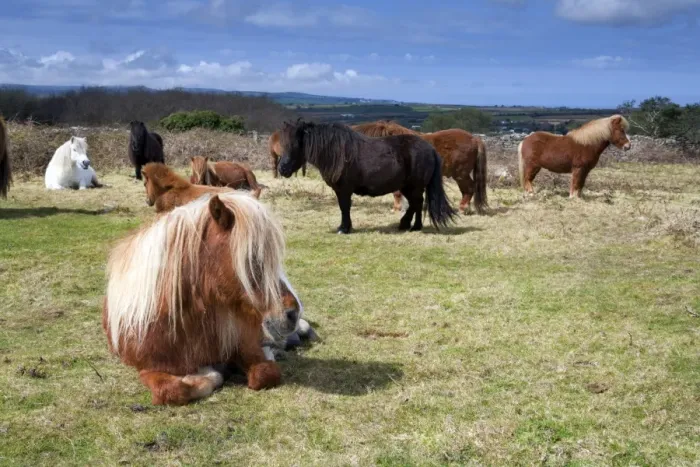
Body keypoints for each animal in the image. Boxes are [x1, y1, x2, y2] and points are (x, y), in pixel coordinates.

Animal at [103, 191, 303, 405]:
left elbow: (266, 374)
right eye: (250, 258)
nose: (293, 313)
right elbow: (175, 389)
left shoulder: (247, 346)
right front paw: (202, 375)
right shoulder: (148, 367)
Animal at [277, 120, 457, 234]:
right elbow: (344, 208)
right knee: (415, 204)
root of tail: (430, 149)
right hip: (407, 187)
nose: (282, 169)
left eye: (295, 145)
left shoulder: (343, 189)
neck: (337, 153)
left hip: (415, 186)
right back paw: (407, 225)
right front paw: (345, 227)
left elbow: (344, 207)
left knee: (417, 203)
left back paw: (413, 226)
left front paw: (344, 228)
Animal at [352, 120, 488, 215]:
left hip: (460, 174)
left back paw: (463, 208)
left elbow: (396, 193)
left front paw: (397, 208)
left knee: (469, 188)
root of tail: (475, 139)